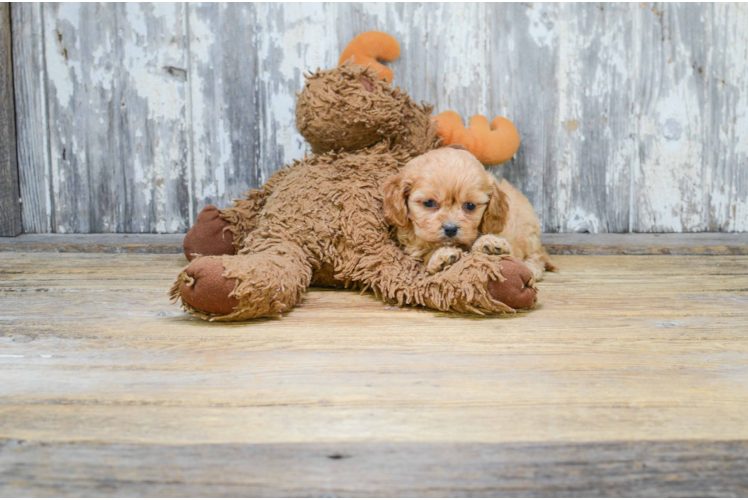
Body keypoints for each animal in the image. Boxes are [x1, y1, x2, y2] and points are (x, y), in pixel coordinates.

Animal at [386, 148, 556, 280]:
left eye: (470, 205)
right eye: (429, 203)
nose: (450, 229)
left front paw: (490, 244)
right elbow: (425, 254)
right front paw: (440, 257)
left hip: (529, 235)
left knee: (537, 257)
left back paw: (531, 268)